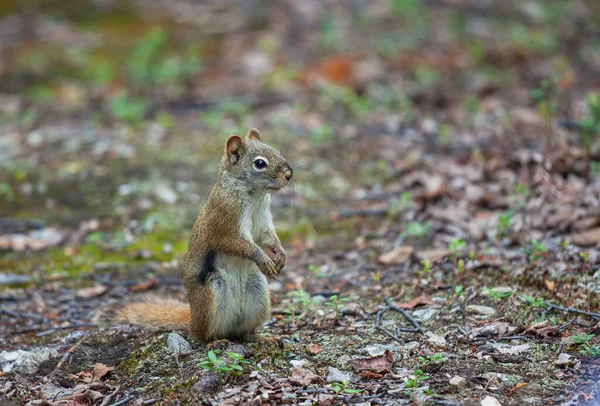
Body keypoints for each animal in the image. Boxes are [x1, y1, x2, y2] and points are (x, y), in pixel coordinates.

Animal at [92, 128, 294, 340]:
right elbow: (237, 243)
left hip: (258, 292)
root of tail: (192, 321)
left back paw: (259, 337)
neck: (254, 194)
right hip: (213, 294)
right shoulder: (225, 221)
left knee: (242, 330)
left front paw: (280, 254)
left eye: (277, 150)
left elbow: (267, 236)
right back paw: (215, 342)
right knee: (205, 334)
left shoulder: (263, 219)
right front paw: (262, 258)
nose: (289, 174)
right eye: (260, 163)